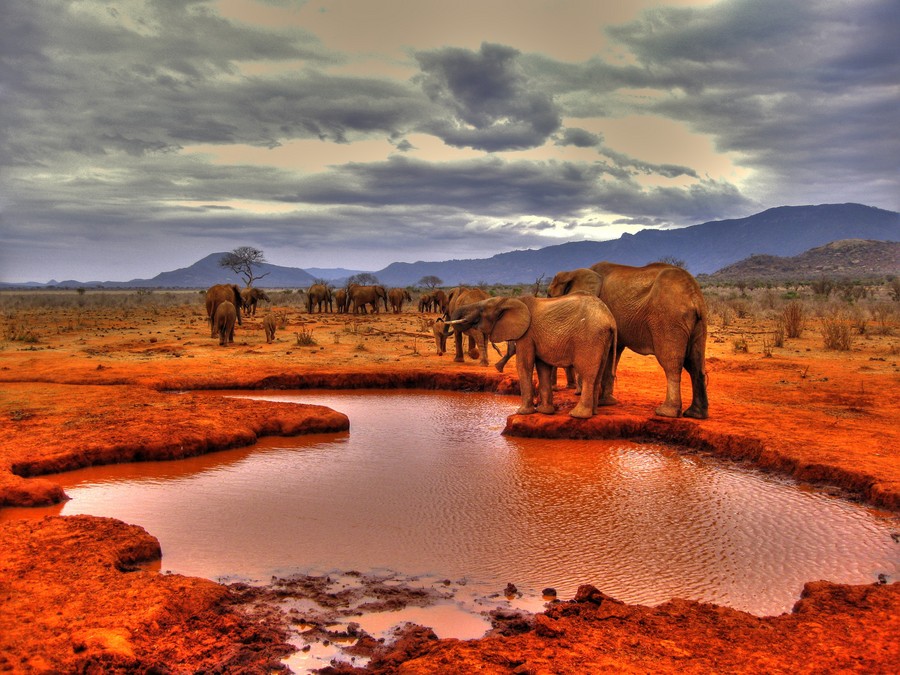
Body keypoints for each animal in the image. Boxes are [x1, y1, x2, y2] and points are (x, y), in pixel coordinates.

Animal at [446, 294, 616, 418]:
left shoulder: (526, 334)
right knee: (597, 374)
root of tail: (610, 319)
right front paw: (544, 411)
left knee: (588, 374)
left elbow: (524, 365)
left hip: (589, 338)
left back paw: (578, 415)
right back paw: (593, 413)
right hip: (602, 339)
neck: (508, 300)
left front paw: (522, 412)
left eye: (481, 310)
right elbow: (542, 368)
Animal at [548, 262, 712, 418]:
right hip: (698, 322)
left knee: (672, 364)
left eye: (549, 295)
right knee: (695, 364)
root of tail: (694, 296)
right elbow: (611, 355)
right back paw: (696, 414)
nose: (556, 389)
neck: (572, 272)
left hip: (669, 320)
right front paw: (606, 402)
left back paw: (666, 412)